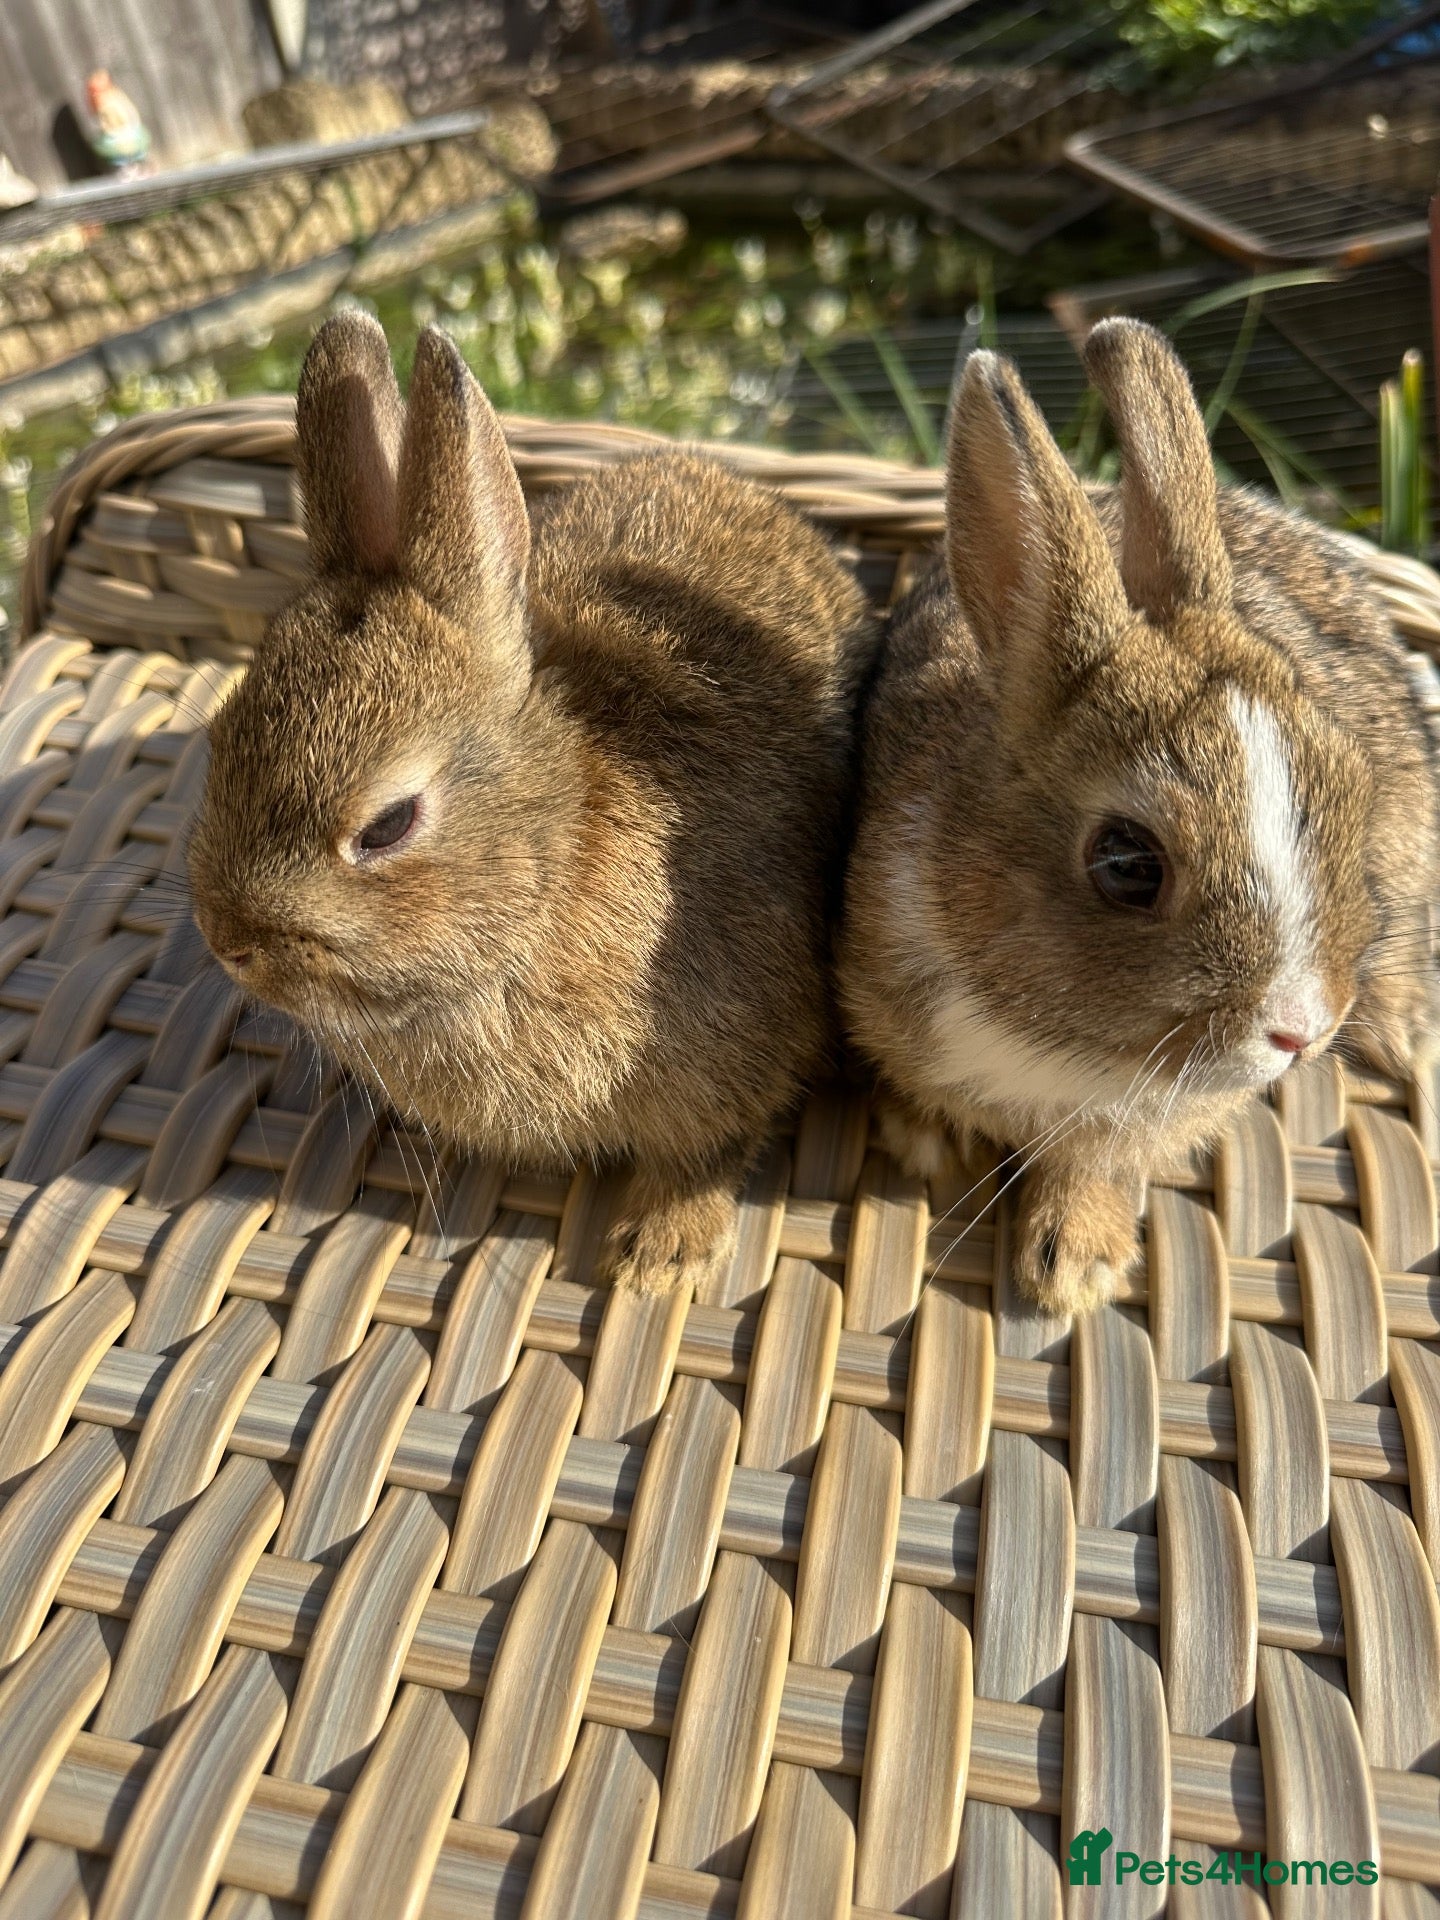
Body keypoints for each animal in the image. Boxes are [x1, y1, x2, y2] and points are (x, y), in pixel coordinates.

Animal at [188, 311, 877, 1292]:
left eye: (386, 826)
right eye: (218, 736)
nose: (227, 940)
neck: (553, 865)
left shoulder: (739, 1052)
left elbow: (707, 1153)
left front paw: (658, 1257)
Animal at [839, 317, 1438, 1316]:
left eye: (1346, 786)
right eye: (1127, 865)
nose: (1302, 1030)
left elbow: (1096, 1163)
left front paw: (1072, 1269)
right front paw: (926, 1146)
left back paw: (1401, 1036)